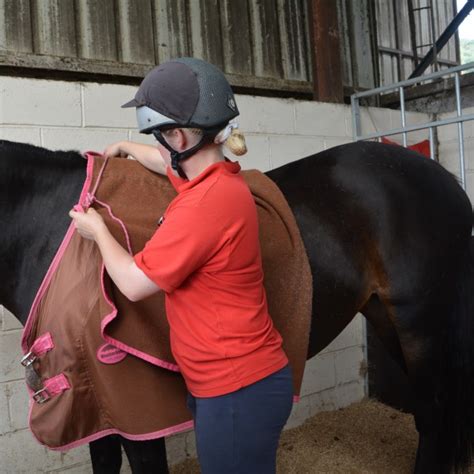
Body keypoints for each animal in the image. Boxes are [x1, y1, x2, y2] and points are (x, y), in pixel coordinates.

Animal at [0, 139, 472, 472]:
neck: (49, 232)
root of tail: (445, 179)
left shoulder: (135, 406)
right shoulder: (94, 403)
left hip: (420, 324)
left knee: (433, 413)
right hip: (387, 319)